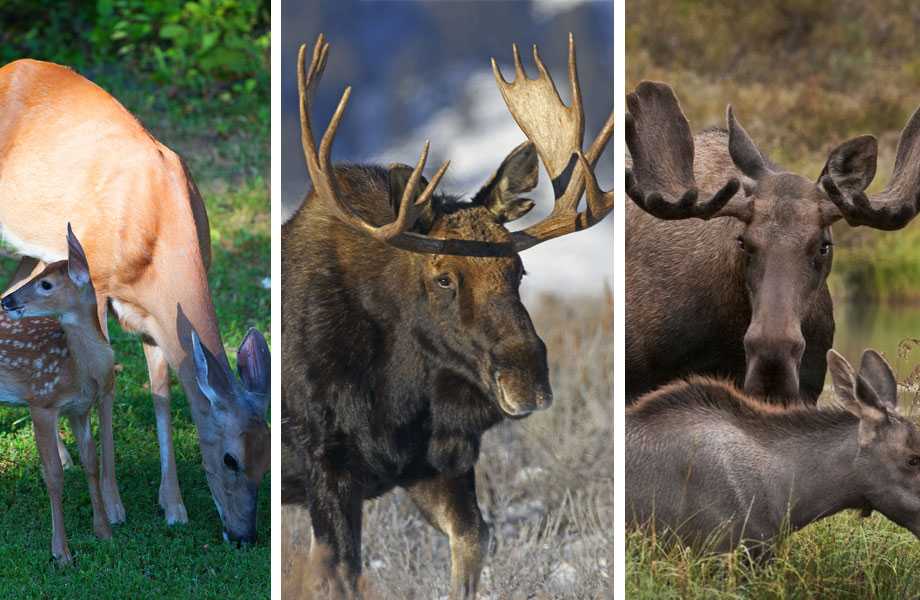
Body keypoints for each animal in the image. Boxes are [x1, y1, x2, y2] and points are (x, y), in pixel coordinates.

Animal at [0, 226, 117, 565]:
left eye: (46, 284)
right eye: (39, 275)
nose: (8, 300)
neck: (77, 370)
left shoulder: (80, 409)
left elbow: (91, 462)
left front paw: (103, 531)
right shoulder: (41, 401)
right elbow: (53, 475)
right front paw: (61, 552)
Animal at [281, 34, 612, 599]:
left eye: (519, 269)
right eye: (443, 278)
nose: (528, 378)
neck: (397, 395)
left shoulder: (439, 461)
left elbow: (473, 541)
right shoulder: (325, 462)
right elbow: (341, 573)